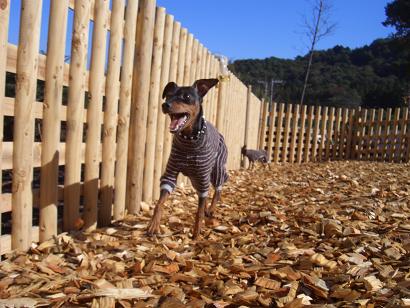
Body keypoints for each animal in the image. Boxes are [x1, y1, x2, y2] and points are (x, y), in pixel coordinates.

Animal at [147, 79, 229, 238]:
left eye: (187, 97)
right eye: (168, 96)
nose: (165, 105)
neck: (189, 139)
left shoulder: (203, 176)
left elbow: (199, 210)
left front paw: (196, 233)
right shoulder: (171, 172)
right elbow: (160, 202)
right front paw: (154, 225)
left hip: (215, 170)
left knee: (218, 188)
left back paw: (210, 209)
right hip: (195, 178)